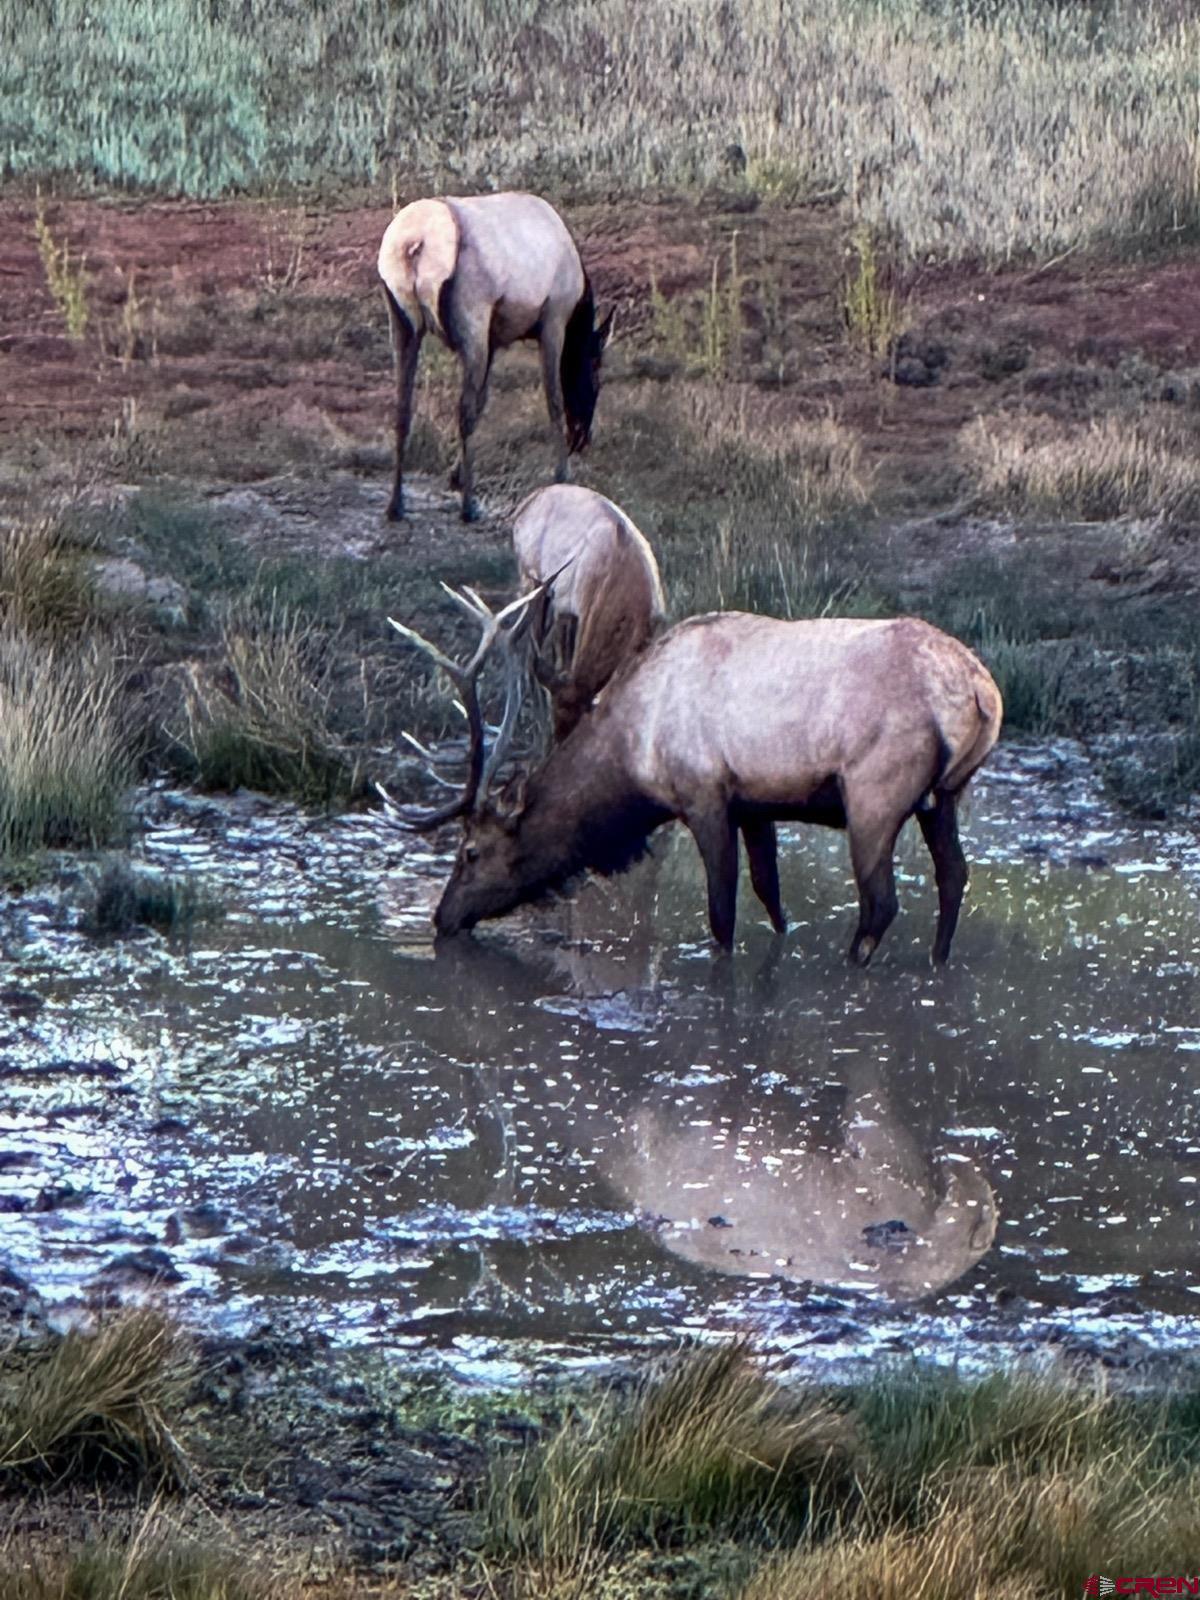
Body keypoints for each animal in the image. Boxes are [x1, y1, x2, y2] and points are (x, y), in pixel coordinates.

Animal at [377, 193, 615, 525]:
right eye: (595, 368)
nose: (582, 438)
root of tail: (416, 242)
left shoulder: (493, 338)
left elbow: (483, 401)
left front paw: (456, 475)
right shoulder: (553, 319)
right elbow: (553, 401)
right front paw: (562, 474)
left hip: (401, 321)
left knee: (403, 407)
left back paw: (395, 504)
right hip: (472, 315)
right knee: (462, 410)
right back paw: (468, 507)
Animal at [381, 599, 1003, 966]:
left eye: (470, 851)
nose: (443, 917)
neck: (636, 756)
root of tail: (982, 692)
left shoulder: (704, 793)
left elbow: (722, 913)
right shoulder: (755, 804)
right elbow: (769, 894)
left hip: (876, 792)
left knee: (881, 903)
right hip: (942, 796)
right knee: (954, 875)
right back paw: (938, 964)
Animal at [512, 484, 666, 740]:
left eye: (577, 727)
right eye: (555, 720)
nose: (555, 744)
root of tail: (523, 507)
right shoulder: (584, 611)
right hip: (529, 576)